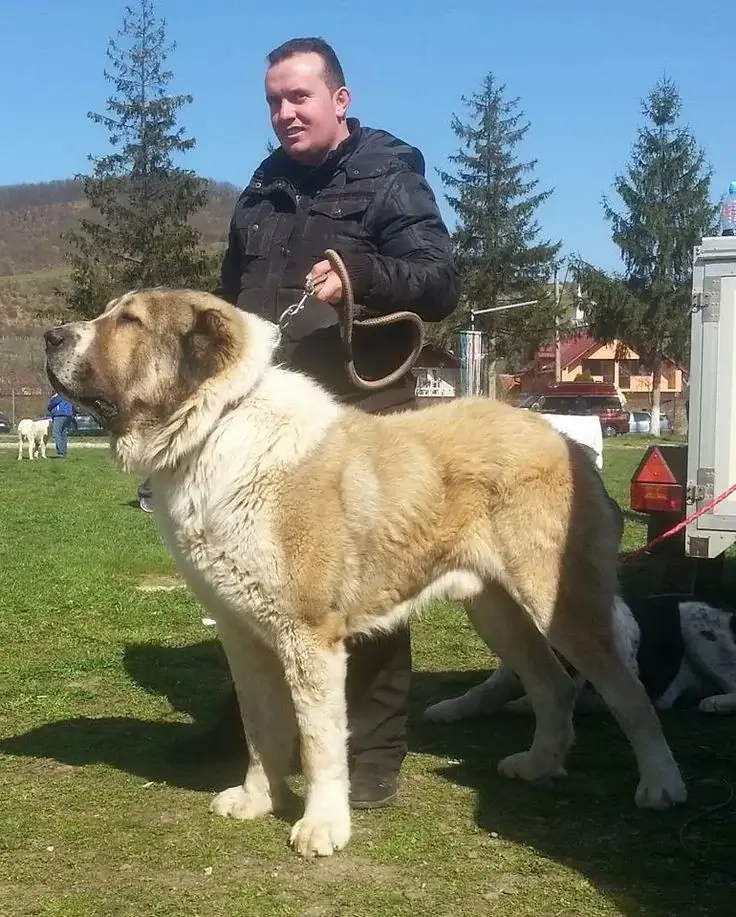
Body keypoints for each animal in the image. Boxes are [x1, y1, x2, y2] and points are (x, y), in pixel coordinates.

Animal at [43, 290, 688, 856]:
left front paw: (322, 827)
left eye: (129, 321)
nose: (50, 336)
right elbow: (259, 724)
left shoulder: (309, 637)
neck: (216, 426)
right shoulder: (242, 634)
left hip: (560, 601)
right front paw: (256, 799)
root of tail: (563, 439)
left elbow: (320, 739)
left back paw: (661, 784)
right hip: (495, 607)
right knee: (553, 684)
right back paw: (537, 765)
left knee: (628, 694)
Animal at [422, 592, 736, 724]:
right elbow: (478, 693)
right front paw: (446, 709)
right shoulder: (509, 672)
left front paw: (520, 705)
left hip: (701, 632)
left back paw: (715, 703)